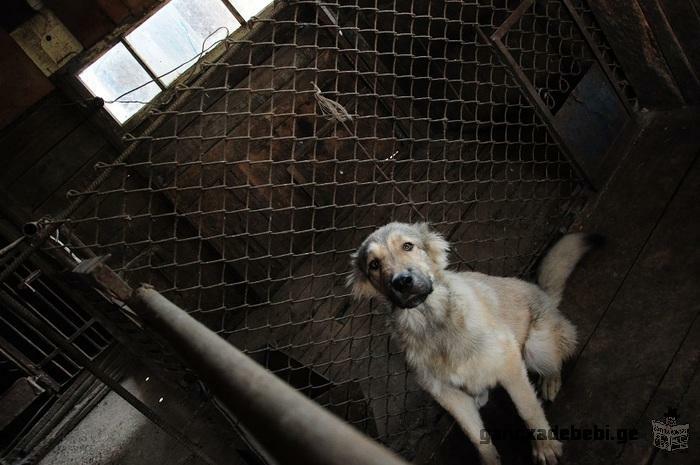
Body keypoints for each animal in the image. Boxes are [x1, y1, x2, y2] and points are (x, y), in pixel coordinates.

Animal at [348, 223, 600, 462]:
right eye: (374, 265)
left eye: (407, 246)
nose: (402, 282)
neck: (433, 324)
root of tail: (545, 295)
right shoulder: (447, 394)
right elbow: (477, 438)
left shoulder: (510, 363)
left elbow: (528, 409)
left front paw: (545, 446)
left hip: (535, 347)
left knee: (555, 360)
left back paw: (550, 380)